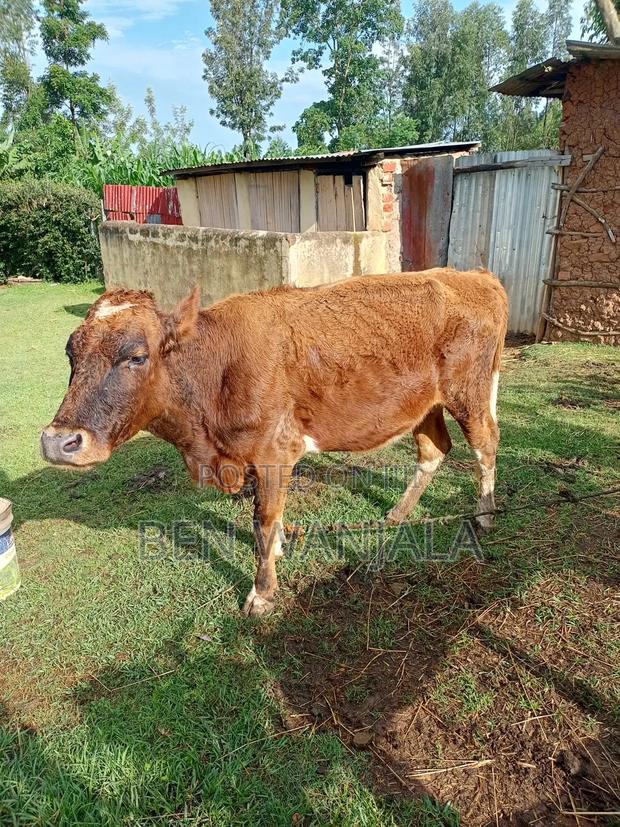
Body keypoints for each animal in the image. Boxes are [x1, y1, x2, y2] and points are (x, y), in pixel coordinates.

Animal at [41, 269, 508, 617]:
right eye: (70, 353)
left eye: (137, 356)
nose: (58, 441)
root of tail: (473, 275)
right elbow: (270, 515)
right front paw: (280, 550)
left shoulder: (273, 451)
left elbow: (263, 519)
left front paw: (262, 592)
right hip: (425, 403)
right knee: (434, 449)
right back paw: (398, 513)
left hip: (469, 393)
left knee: (485, 443)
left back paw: (485, 514)